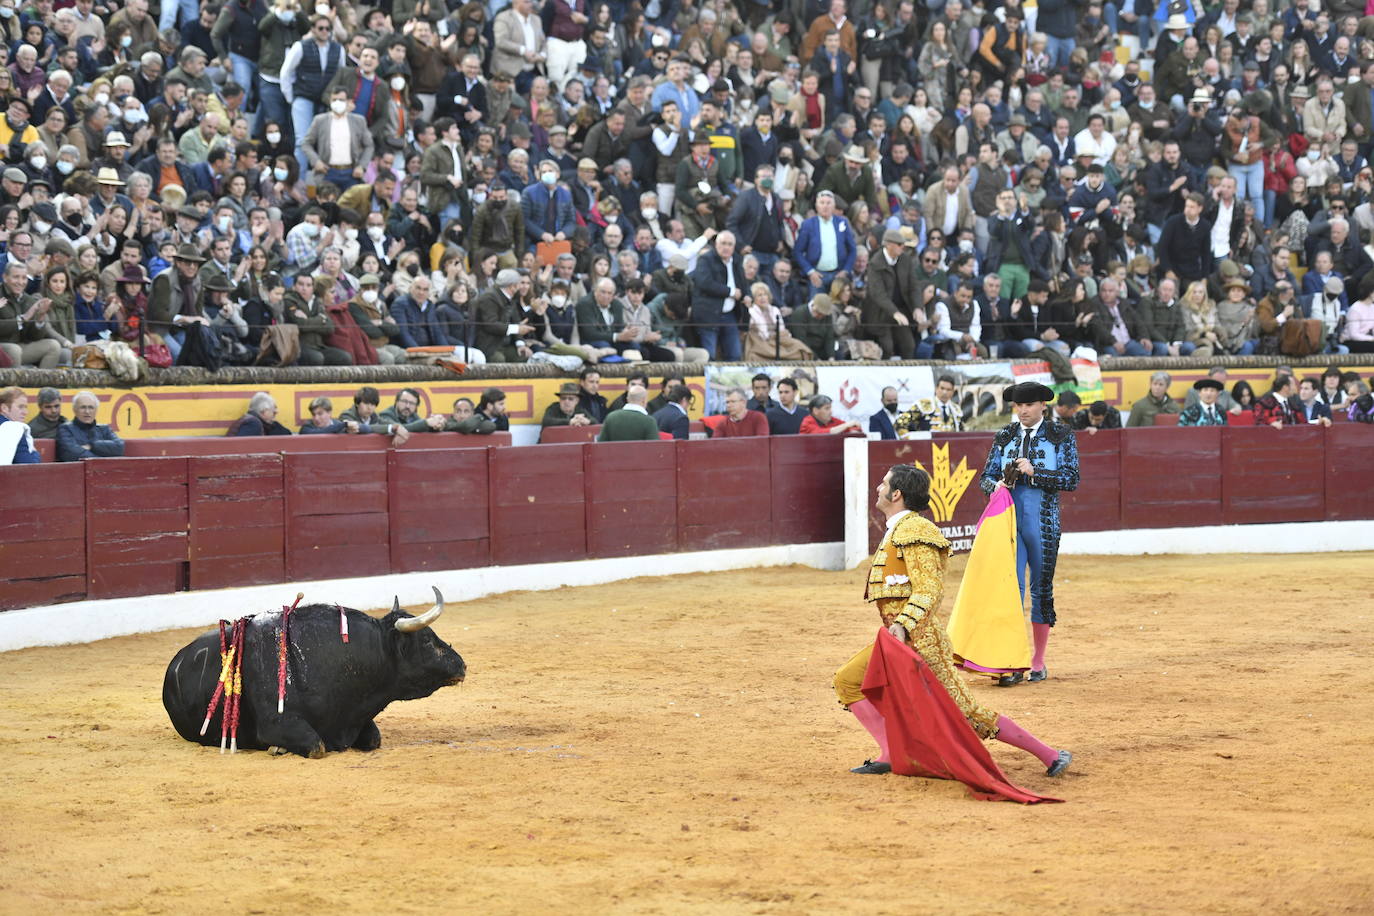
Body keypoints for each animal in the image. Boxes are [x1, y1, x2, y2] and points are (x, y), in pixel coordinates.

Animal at [161, 587, 467, 758]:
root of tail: (174, 665)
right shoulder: (276, 723)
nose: (462, 665)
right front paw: (278, 748)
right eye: (426, 639)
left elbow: (374, 738)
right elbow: (316, 746)